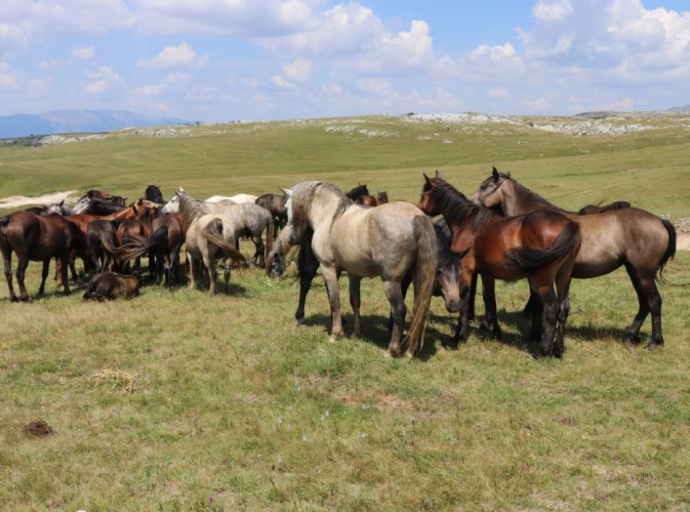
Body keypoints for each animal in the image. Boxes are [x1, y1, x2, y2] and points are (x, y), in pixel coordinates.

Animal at [280, 182, 432, 358]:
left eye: (286, 207)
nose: (291, 239)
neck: (329, 216)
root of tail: (415, 216)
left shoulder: (328, 267)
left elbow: (334, 300)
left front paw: (336, 334)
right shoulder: (354, 273)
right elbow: (355, 301)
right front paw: (356, 333)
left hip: (391, 282)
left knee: (400, 310)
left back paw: (392, 350)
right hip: (416, 277)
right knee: (419, 308)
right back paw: (410, 350)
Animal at [414, 174, 580, 358]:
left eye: (423, 195)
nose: (419, 211)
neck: (468, 223)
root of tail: (569, 224)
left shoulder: (466, 270)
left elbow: (464, 300)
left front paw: (459, 337)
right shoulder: (487, 273)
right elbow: (490, 300)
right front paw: (495, 334)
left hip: (543, 280)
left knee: (551, 309)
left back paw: (543, 351)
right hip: (563, 277)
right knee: (564, 309)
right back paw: (558, 349)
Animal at [470, 166, 676, 350]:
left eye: (483, 186)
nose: (470, 203)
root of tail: (660, 221)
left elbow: (537, 305)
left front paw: (536, 336)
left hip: (643, 273)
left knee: (654, 302)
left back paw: (654, 342)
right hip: (634, 271)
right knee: (644, 303)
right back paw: (631, 335)